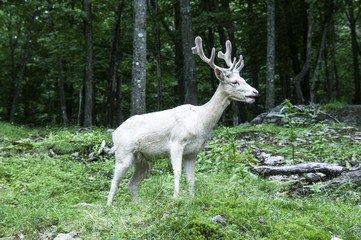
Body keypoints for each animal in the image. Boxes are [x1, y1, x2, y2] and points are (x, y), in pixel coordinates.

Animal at [105, 36, 258, 205]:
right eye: (235, 82)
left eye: (243, 79)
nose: (255, 92)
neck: (200, 121)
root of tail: (114, 133)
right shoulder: (177, 142)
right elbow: (177, 172)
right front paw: (176, 198)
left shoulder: (193, 152)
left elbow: (191, 178)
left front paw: (191, 200)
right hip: (123, 153)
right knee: (114, 182)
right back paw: (109, 206)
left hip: (144, 160)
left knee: (131, 184)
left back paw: (137, 205)